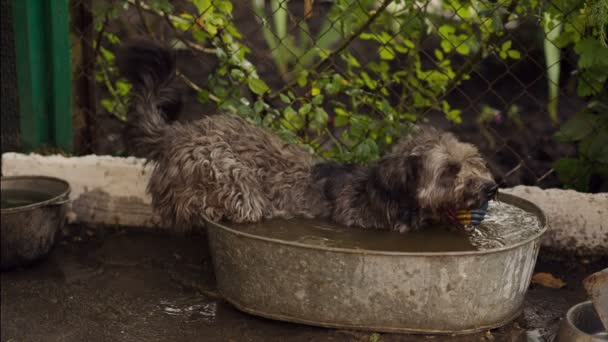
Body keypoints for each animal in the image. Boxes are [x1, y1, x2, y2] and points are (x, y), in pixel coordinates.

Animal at [117, 39, 498, 232]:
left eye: (475, 161)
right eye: (450, 170)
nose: (491, 188)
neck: (386, 194)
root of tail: (178, 133)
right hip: (224, 170)